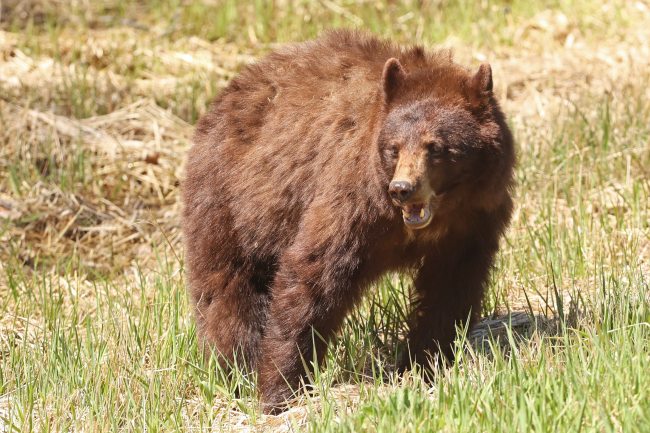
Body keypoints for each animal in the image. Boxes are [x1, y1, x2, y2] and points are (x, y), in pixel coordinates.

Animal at [182, 29, 514, 413]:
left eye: (436, 147)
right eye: (393, 148)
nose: (402, 188)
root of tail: (225, 96)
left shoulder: (472, 224)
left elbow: (450, 289)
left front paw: (425, 363)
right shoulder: (351, 199)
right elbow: (313, 274)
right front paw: (280, 390)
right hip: (231, 203)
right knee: (226, 289)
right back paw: (238, 368)